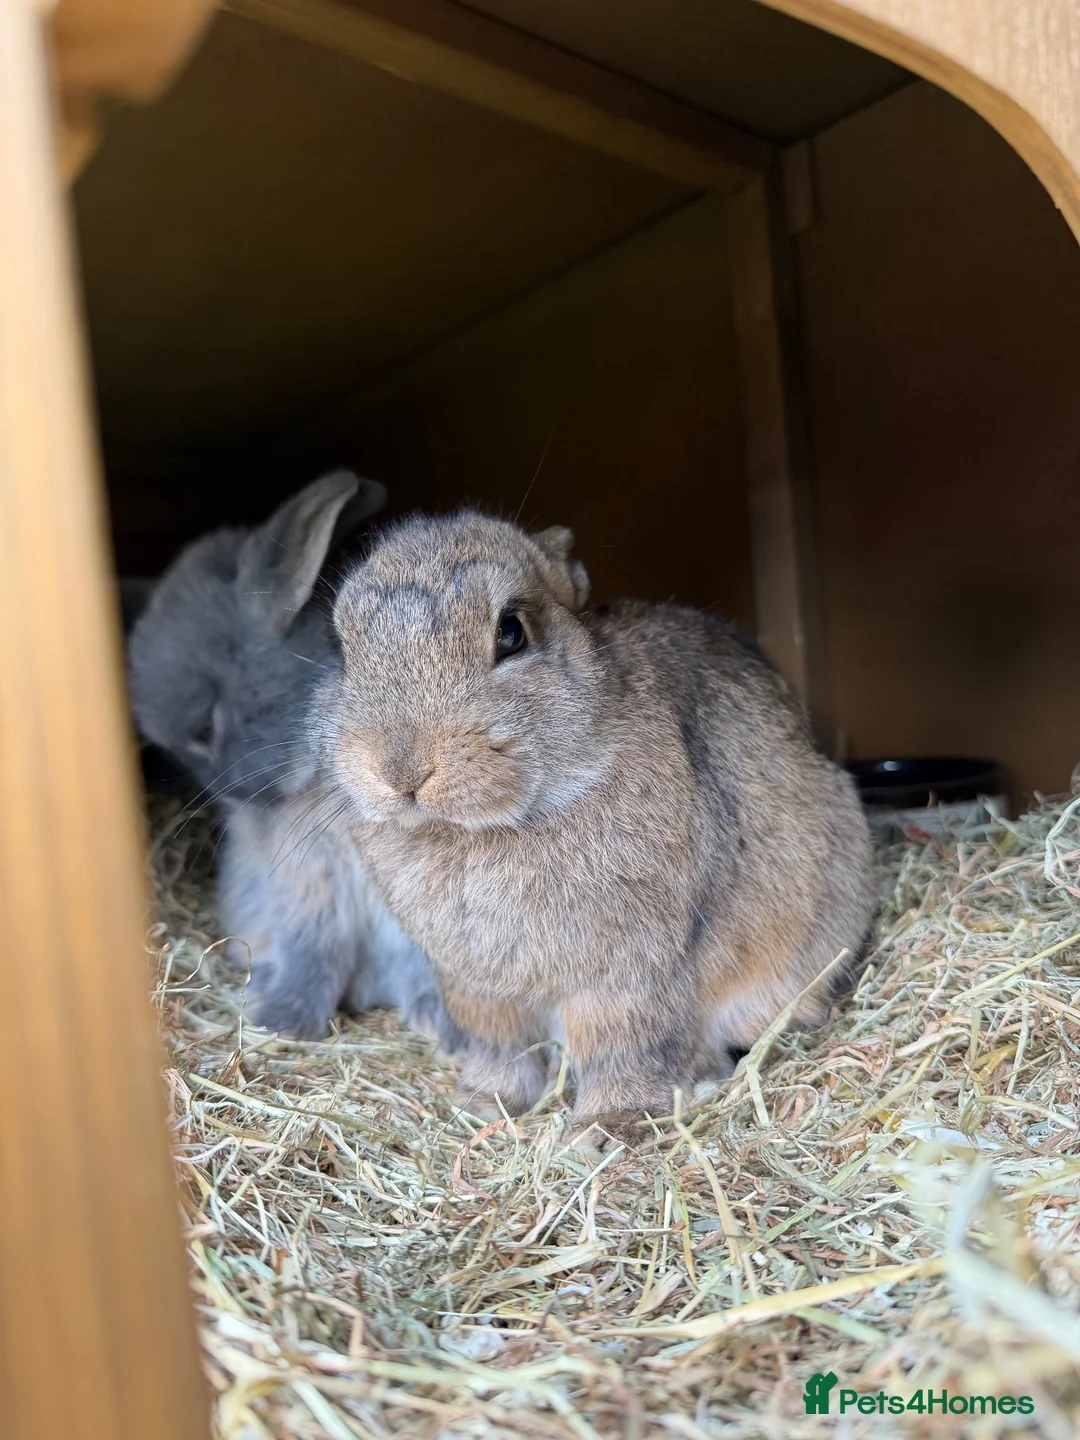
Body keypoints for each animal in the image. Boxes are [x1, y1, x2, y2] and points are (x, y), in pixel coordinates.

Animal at [311, 510, 875, 1140]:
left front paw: (609, 1125)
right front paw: (481, 1105)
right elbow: (503, 1048)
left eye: (512, 632)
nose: (402, 771)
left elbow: (621, 1044)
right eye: (342, 648)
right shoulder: (480, 990)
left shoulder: (629, 975)